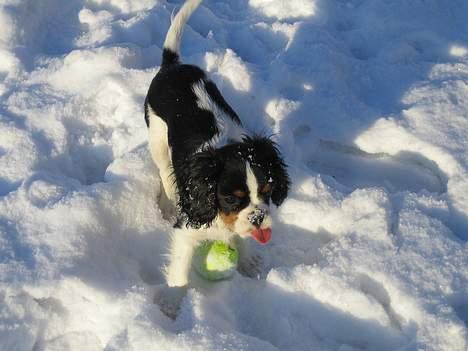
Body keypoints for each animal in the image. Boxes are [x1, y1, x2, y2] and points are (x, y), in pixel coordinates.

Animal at [146, 0, 290, 316]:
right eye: (232, 198)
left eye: (267, 190)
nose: (259, 218)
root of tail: (172, 66)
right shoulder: (187, 228)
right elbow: (180, 268)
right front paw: (172, 302)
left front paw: (248, 260)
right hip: (158, 138)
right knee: (163, 171)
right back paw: (168, 202)